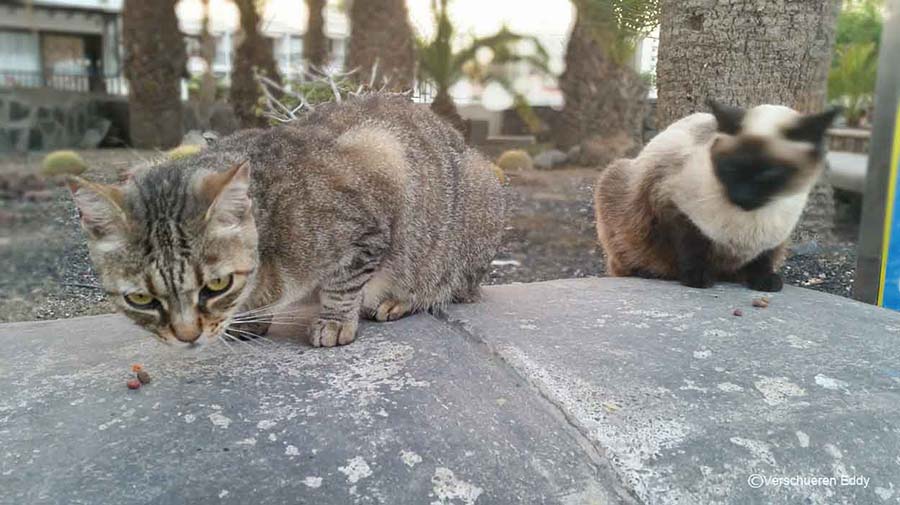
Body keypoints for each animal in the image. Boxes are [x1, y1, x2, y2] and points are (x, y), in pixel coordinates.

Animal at [70, 93, 506, 346]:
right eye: (141, 299)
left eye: (216, 284)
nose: (187, 337)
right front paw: (250, 318)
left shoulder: (377, 174)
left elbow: (342, 285)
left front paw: (334, 321)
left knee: (445, 285)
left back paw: (398, 300)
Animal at [596, 99, 840, 292]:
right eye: (731, 168)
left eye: (769, 174)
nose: (743, 196)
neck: (751, 222)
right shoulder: (674, 210)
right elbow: (692, 249)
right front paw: (697, 278)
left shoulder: (775, 237)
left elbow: (763, 260)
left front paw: (764, 281)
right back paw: (647, 272)